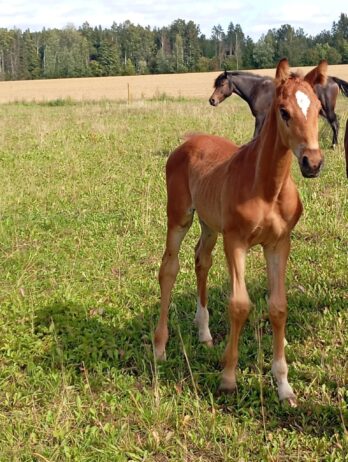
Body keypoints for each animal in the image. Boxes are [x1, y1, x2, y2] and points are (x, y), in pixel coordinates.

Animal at [154, 59, 326, 406]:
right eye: (284, 111)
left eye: (317, 108)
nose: (312, 163)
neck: (267, 188)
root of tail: (186, 143)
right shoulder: (236, 242)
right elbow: (239, 305)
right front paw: (228, 378)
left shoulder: (279, 243)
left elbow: (278, 306)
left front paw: (284, 387)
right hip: (179, 217)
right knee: (169, 268)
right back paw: (160, 347)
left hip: (209, 225)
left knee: (201, 260)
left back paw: (204, 333)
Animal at [208, 63, 346, 148]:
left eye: (222, 84)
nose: (212, 100)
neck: (257, 89)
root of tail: (332, 79)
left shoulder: (260, 117)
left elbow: (256, 134)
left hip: (328, 109)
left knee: (335, 124)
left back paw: (334, 145)